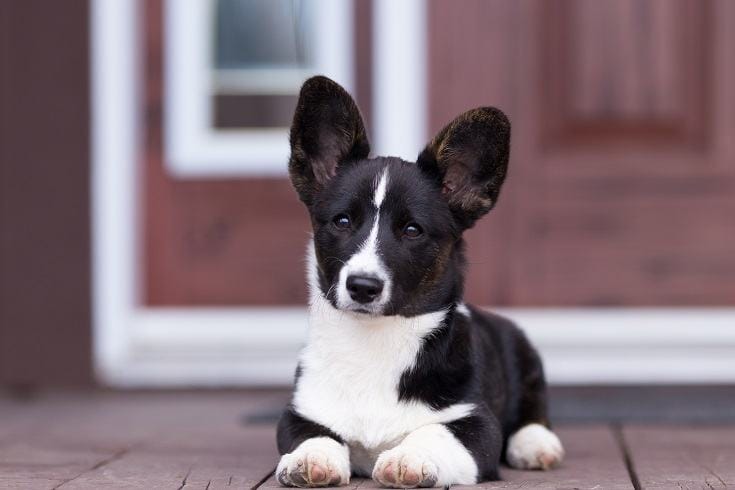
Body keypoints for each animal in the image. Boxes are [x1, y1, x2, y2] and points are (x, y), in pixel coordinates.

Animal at [276, 74, 564, 488]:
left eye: (412, 230)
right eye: (342, 221)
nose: (362, 287)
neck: (375, 341)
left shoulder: (476, 426)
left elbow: (434, 432)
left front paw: (407, 458)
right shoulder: (301, 412)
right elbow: (314, 434)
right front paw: (310, 459)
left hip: (523, 354)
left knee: (531, 411)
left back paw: (536, 444)